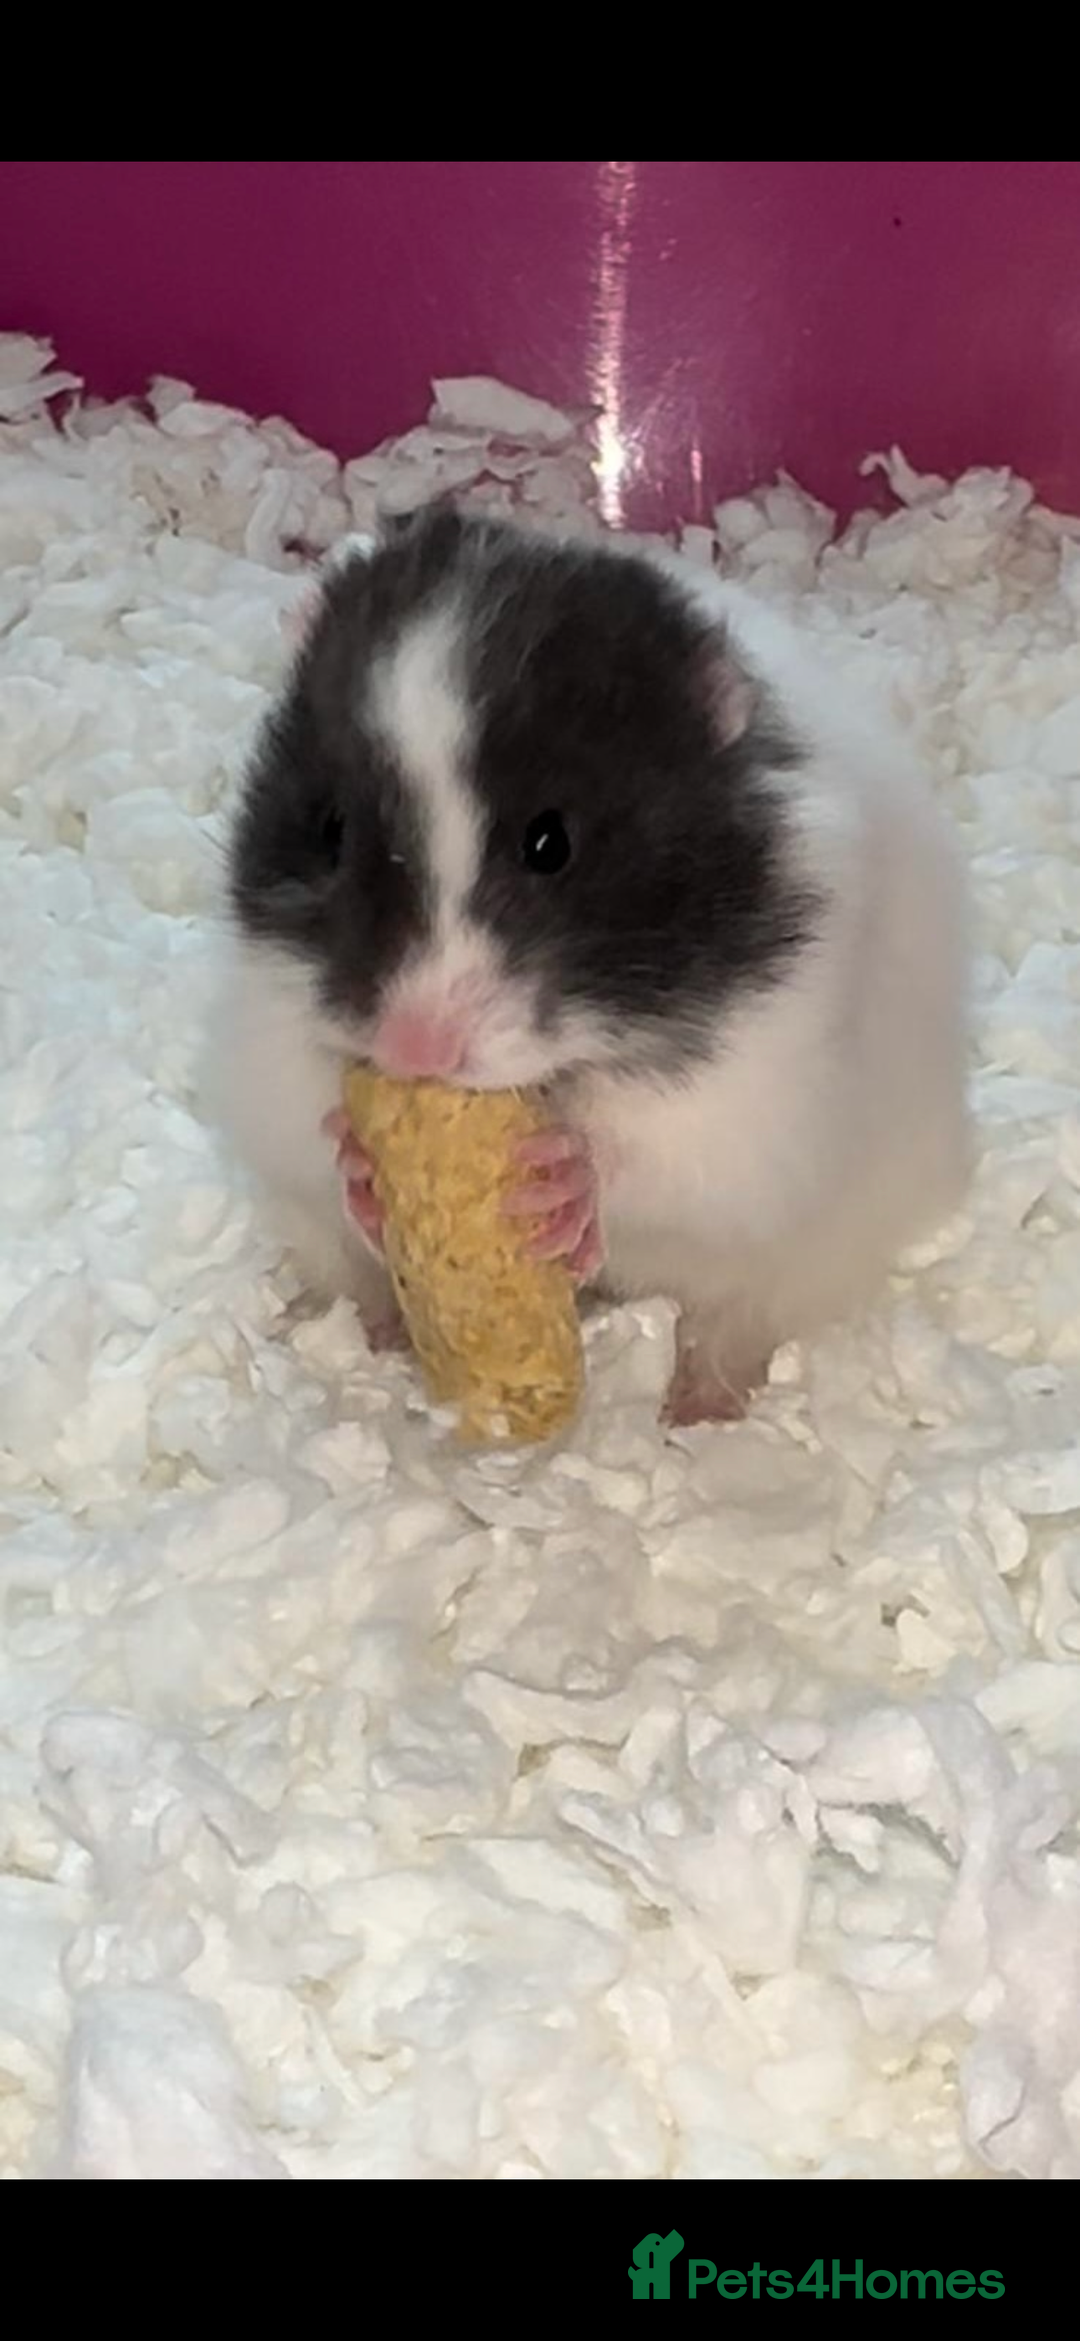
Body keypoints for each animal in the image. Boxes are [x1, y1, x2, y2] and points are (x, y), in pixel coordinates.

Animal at [203, 505, 970, 1424]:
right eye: (331, 829)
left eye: (551, 842)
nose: (414, 1049)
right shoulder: (269, 1038)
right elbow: (307, 1130)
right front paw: (360, 1158)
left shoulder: (760, 1106)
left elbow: (656, 1161)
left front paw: (558, 1181)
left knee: (732, 1325)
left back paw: (697, 1412)